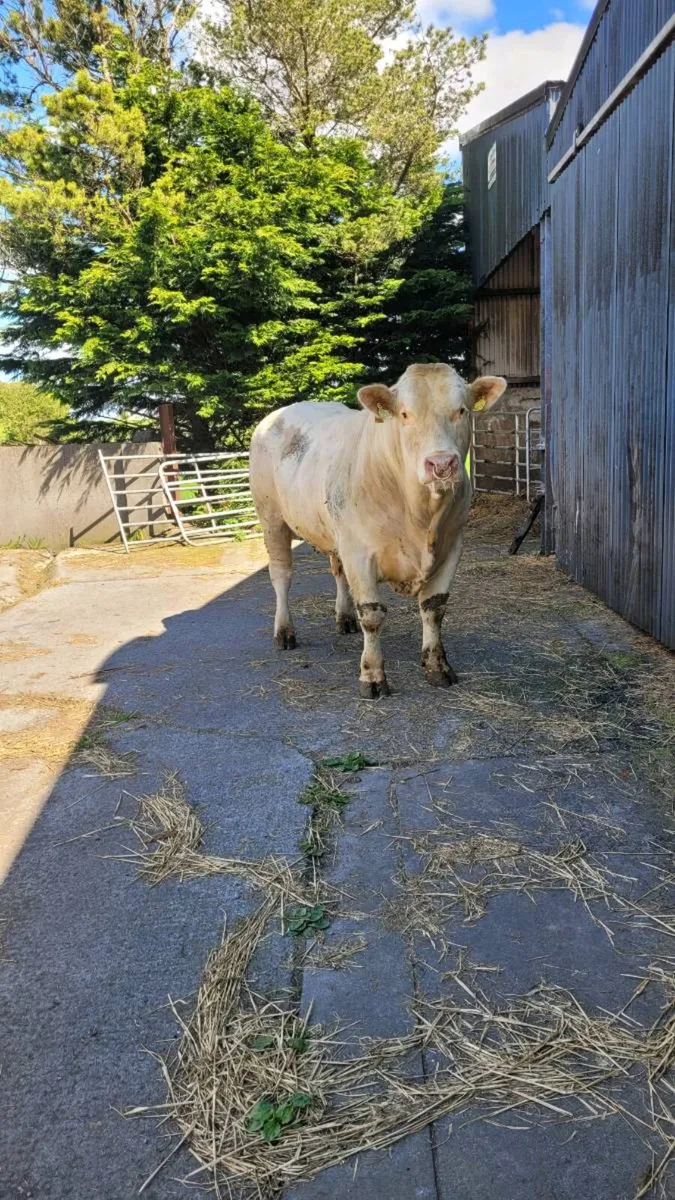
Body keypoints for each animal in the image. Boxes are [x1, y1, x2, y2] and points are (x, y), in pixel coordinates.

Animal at [249, 363, 507, 698]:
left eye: (461, 410)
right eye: (405, 414)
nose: (441, 464)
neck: (421, 514)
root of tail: (279, 414)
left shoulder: (452, 546)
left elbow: (434, 608)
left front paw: (437, 667)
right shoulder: (360, 553)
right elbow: (372, 615)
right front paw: (372, 676)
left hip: (335, 531)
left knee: (338, 573)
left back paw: (345, 618)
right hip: (272, 519)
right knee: (281, 576)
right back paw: (284, 631)